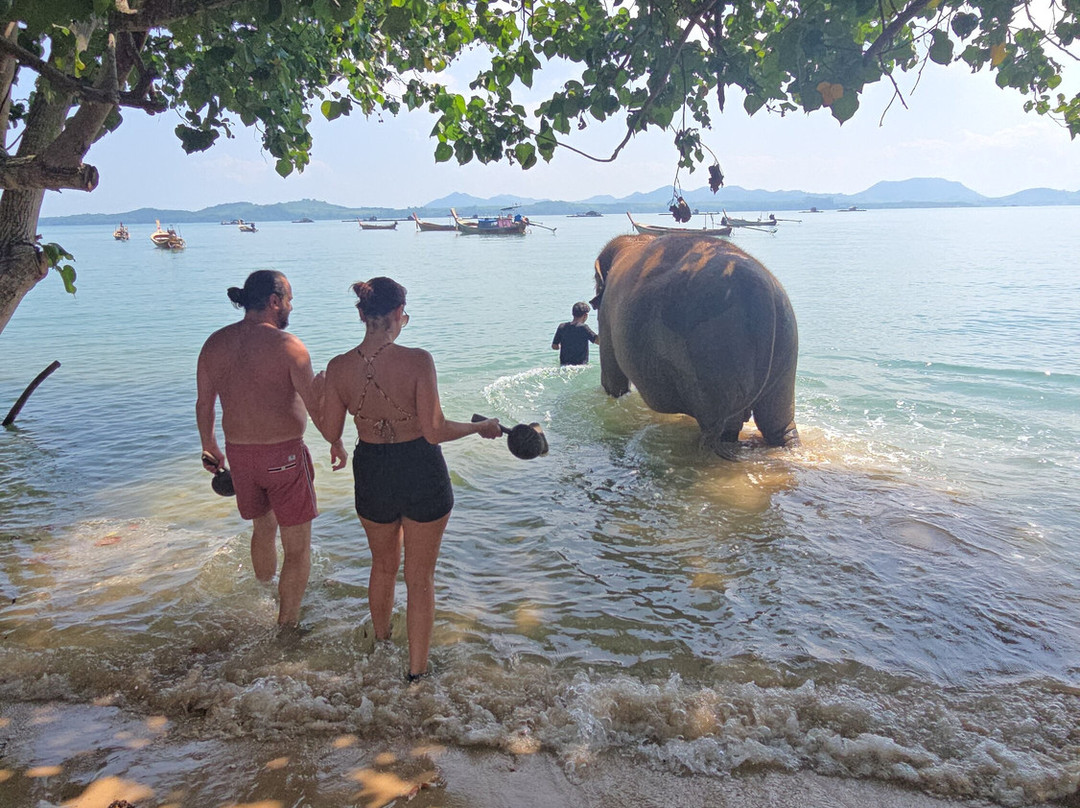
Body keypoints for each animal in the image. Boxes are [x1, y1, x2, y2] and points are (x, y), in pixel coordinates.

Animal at [590, 234, 799, 455]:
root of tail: (762, 289)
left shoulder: (606, 315)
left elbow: (613, 382)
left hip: (718, 356)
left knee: (722, 430)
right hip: (786, 344)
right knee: (778, 423)